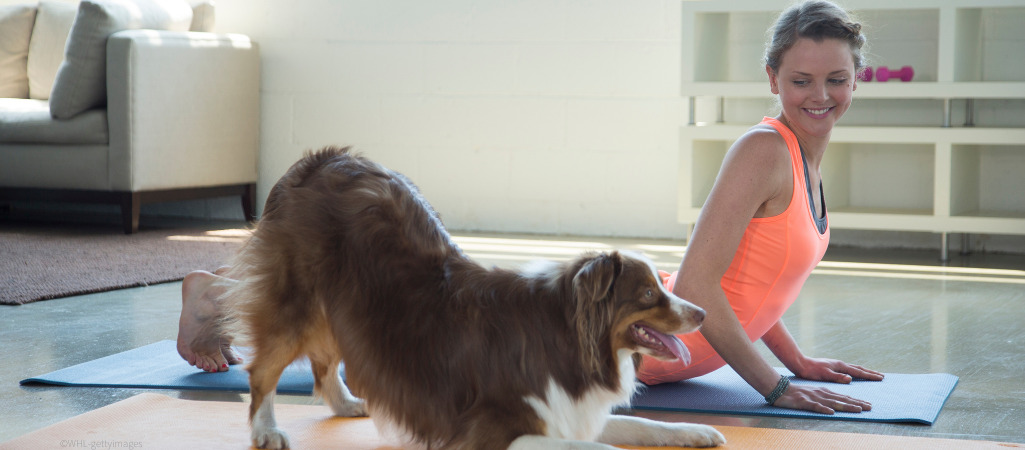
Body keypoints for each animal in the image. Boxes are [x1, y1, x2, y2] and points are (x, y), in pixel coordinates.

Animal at [225, 147, 725, 450]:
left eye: (664, 286)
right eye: (648, 294)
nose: (703, 314)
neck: (569, 334)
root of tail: (316, 161)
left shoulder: (568, 410)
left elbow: (642, 423)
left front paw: (695, 429)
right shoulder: (490, 432)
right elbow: (591, 446)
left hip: (342, 309)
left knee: (324, 363)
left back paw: (346, 403)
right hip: (298, 304)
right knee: (262, 371)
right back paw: (266, 429)